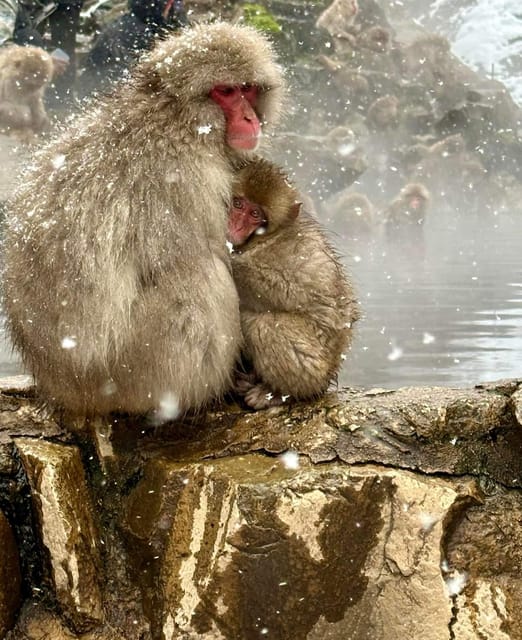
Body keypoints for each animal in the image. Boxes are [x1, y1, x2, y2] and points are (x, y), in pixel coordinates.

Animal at [2, 22, 284, 418]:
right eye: (226, 91)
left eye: (248, 89)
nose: (249, 118)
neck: (175, 117)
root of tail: (61, 385)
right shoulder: (190, 179)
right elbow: (219, 260)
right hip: (130, 371)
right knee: (200, 275)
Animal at [228, 159, 358, 410]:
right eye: (238, 204)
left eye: (255, 214)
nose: (234, 226)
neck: (262, 239)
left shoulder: (289, 251)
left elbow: (293, 290)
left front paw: (231, 262)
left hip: (313, 370)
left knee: (265, 324)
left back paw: (278, 392)